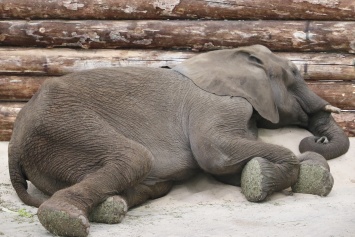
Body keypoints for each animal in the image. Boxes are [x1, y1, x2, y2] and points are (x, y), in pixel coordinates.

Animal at [8, 45, 350, 237]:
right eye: (294, 73)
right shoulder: (218, 104)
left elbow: (226, 170)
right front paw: (267, 177)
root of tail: (13, 145)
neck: (227, 58)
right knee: (136, 158)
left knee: (151, 182)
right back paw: (65, 219)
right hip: (64, 127)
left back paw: (111, 207)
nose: (315, 137)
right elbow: (214, 154)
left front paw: (262, 175)